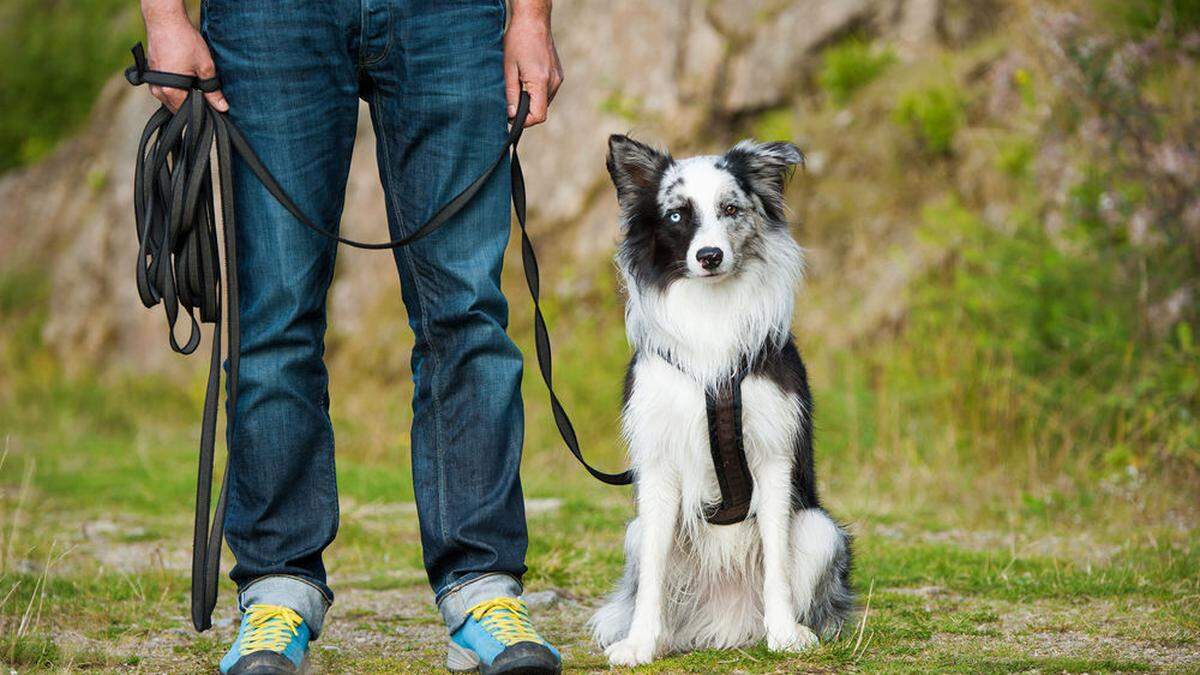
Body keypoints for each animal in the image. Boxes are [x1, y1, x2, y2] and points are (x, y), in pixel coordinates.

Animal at [588, 135, 854, 662]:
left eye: (730, 208)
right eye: (676, 215)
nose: (709, 256)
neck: (710, 313)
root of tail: (725, 621)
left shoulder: (773, 457)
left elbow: (777, 561)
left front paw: (785, 634)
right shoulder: (659, 463)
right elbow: (652, 578)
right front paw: (640, 643)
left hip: (820, 529)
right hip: (636, 533)